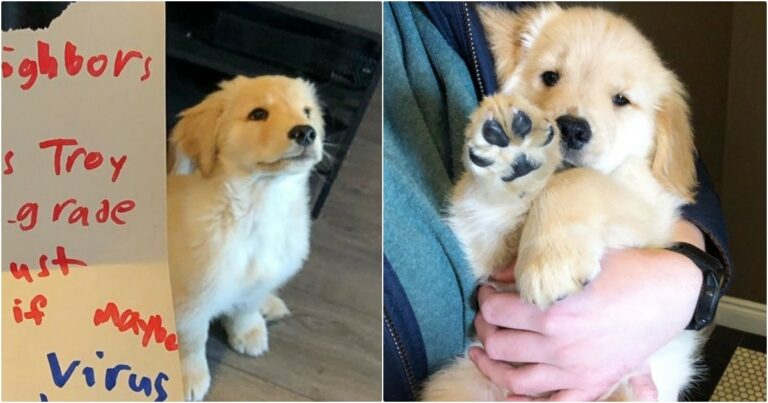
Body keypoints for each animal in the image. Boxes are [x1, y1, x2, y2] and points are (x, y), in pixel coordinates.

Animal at [168, 75, 324, 400]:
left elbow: (247, 305)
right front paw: (189, 376)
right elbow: (191, 340)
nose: (306, 132)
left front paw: (248, 329)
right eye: (258, 114)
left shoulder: (261, 278)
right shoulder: (191, 297)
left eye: (307, 112)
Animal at [426, 4, 704, 402]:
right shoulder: (481, 238)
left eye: (621, 100)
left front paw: (550, 263)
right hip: (456, 383)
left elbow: (581, 179)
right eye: (550, 76)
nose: (572, 128)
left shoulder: (649, 213)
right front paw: (508, 151)